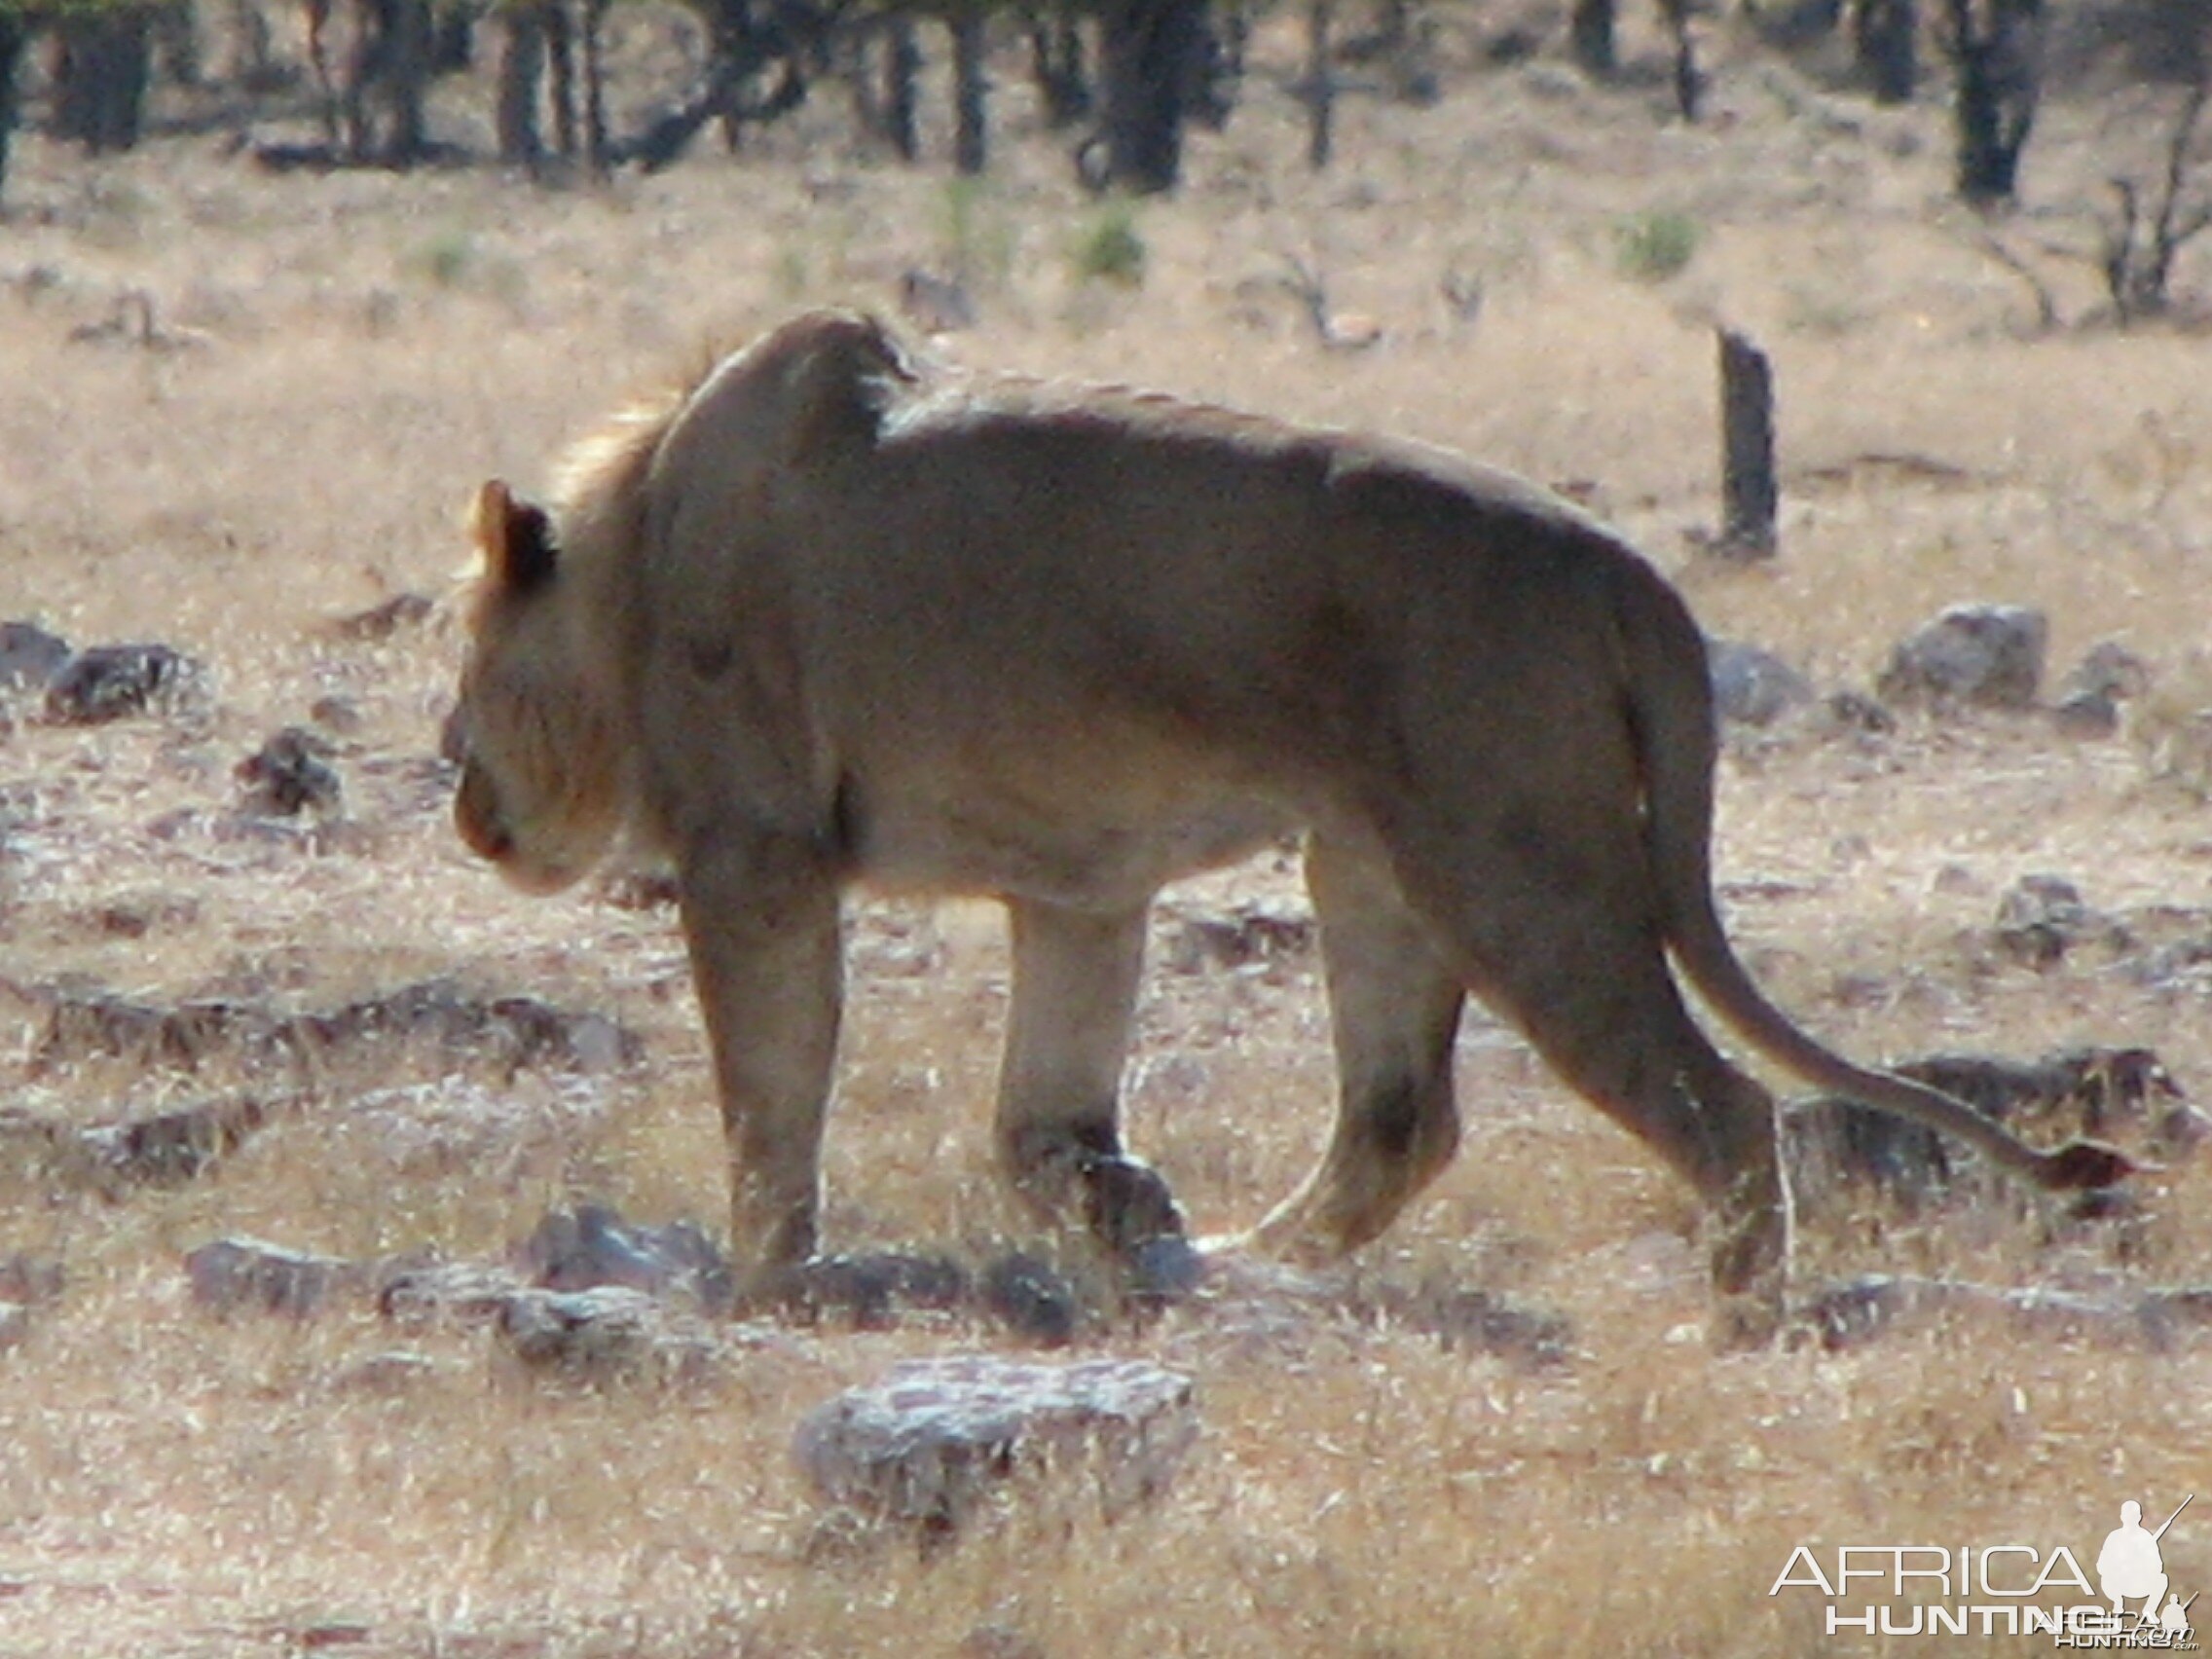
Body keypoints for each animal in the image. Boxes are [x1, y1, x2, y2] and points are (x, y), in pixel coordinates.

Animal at [444, 313, 2123, 1353]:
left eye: (458, 682)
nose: (460, 802)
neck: (634, 554)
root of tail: (1626, 570)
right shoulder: (1080, 881)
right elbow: (1041, 1123)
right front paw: (1135, 1219)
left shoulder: (756, 854)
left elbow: (770, 1100)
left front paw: (762, 1286)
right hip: (1374, 860)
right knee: (1402, 1115)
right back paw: (1257, 1264)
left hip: (1517, 869)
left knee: (1720, 1107)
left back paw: (1733, 1323)